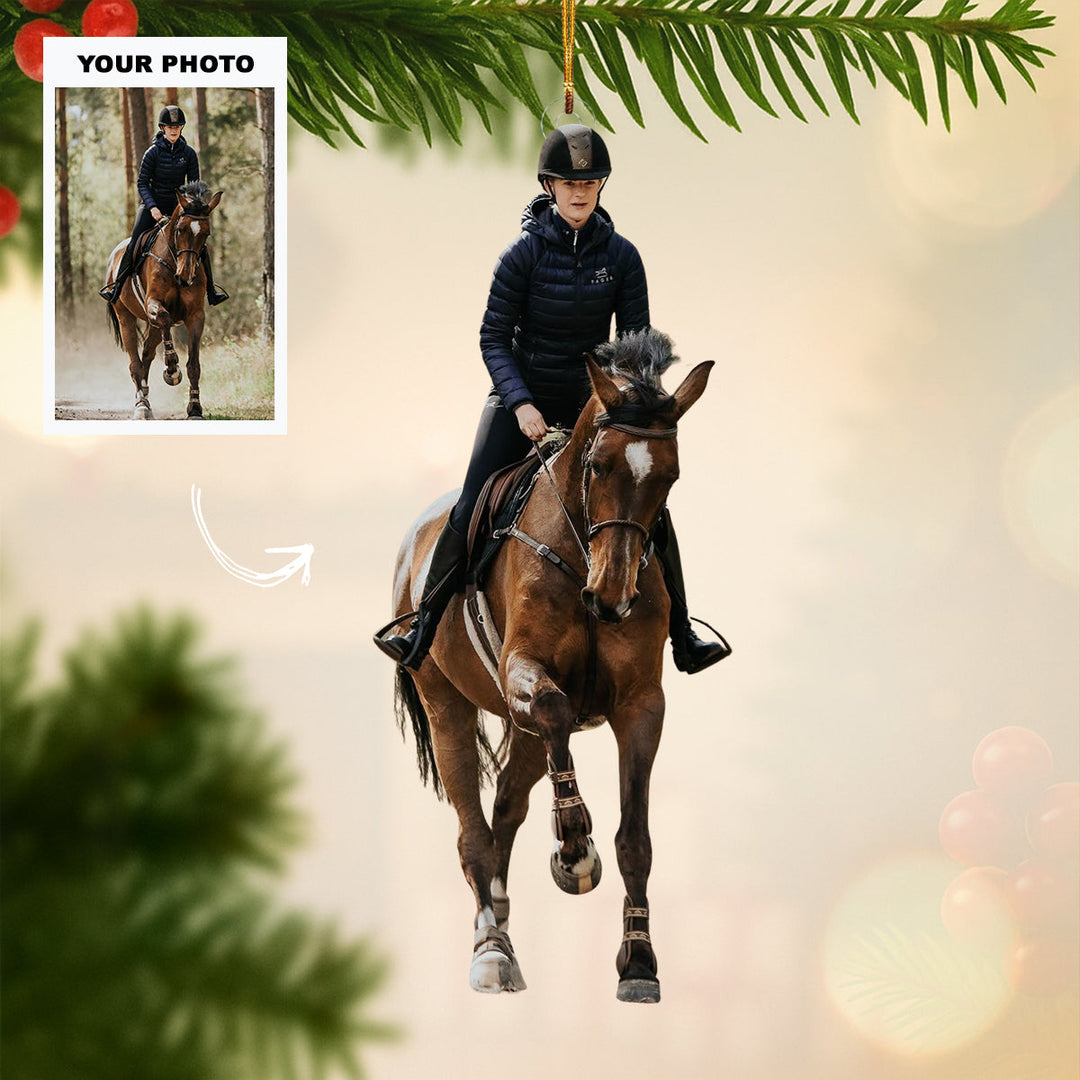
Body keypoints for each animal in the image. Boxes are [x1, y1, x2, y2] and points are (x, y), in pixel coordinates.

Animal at [103, 180, 223, 419]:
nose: (185, 276)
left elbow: (194, 365)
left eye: (206, 233)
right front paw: (171, 370)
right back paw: (141, 405)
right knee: (135, 362)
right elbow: (166, 317)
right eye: (180, 229)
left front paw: (195, 408)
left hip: (153, 327)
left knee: (147, 355)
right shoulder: (154, 304)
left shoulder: (196, 316)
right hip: (125, 316)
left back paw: (146, 395)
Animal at [387, 329, 713, 1002]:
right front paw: (574, 850)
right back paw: (491, 952)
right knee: (474, 834)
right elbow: (556, 704)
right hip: (445, 701)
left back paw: (504, 926)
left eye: (670, 476)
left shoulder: (642, 703)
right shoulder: (524, 669)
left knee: (507, 809)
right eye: (598, 465)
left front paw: (639, 962)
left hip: (524, 733)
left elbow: (636, 839)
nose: (612, 596)